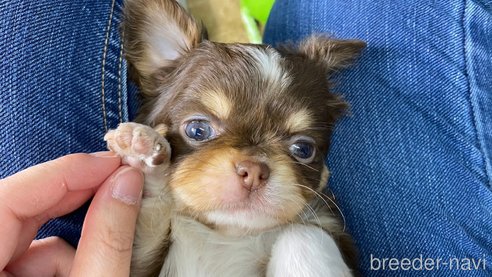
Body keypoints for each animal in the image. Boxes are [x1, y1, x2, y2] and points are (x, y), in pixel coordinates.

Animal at [104, 1, 366, 274]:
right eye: (197, 130)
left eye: (303, 149)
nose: (254, 171)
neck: (229, 233)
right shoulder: (139, 265)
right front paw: (143, 156)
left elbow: (302, 235)